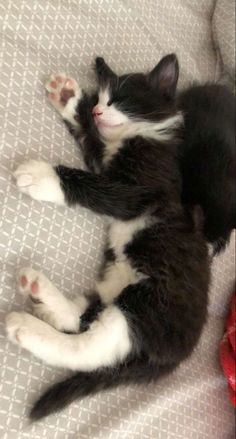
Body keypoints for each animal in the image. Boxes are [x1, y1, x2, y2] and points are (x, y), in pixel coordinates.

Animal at [6, 53, 229, 422]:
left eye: (119, 98)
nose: (97, 109)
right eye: (100, 98)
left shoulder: (139, 188)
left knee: (87, 350)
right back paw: (41, 294)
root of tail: (176, 357)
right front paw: (68, 97)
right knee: (82, 317)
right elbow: (92, 145)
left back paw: (27, 327)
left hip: (145, 306)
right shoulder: (104, 158)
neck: (145, 137)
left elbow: (94, 185)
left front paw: (42, 177)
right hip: (117, 288)